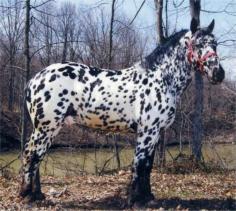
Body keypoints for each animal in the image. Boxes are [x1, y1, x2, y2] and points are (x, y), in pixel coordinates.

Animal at [19, 18, 224, 206]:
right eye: (198, 44)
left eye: (215, 44)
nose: (218, 73)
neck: (160, 79)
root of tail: (34, 80)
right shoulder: (147, 132)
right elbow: (139, 164)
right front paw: (136, 200)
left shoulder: (155, 133)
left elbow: (148, 166)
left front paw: (147, 197)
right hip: (47, 128)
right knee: (32, 155)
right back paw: (28, 196)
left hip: (45, 129)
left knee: (35, 156)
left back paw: (37, 195)